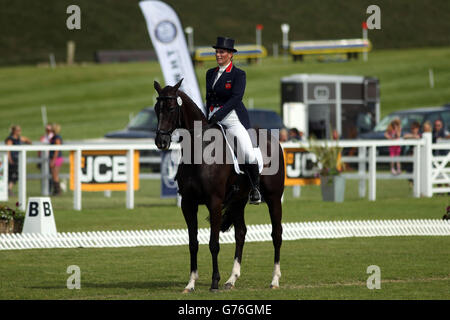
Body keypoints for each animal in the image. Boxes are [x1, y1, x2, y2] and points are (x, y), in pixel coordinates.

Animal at [153, 80, 284, 292]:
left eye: (171, 108)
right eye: (157, 109)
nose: (161, 141)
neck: (199, 150)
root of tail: (271, 138)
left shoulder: (214, 202)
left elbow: (213, 243)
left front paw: (214, 282)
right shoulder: (188, 203)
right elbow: (193, 243)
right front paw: (191, 283)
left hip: (273, 198)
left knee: (277, 234)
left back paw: (274, 280)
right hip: (238, 201)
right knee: (241, 234)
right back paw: (231, 279)